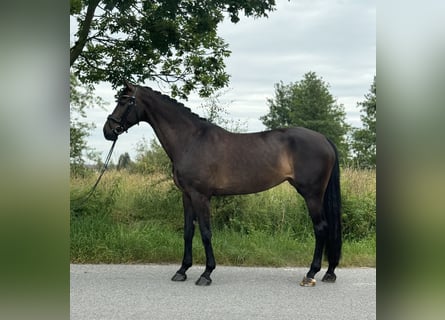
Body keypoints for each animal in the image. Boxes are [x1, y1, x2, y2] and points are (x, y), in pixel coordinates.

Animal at [103, 81, 340, 286]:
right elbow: (188, 231)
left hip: (312, 195)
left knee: (321, 228)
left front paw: (206, 273)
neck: (191, 140)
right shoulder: (186, 195)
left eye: (124, 101)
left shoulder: (201, 196)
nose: (107, 131)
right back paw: (329, 273)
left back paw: (311, 274)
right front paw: (182, 270)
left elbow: (206, 232)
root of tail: (324, 139)